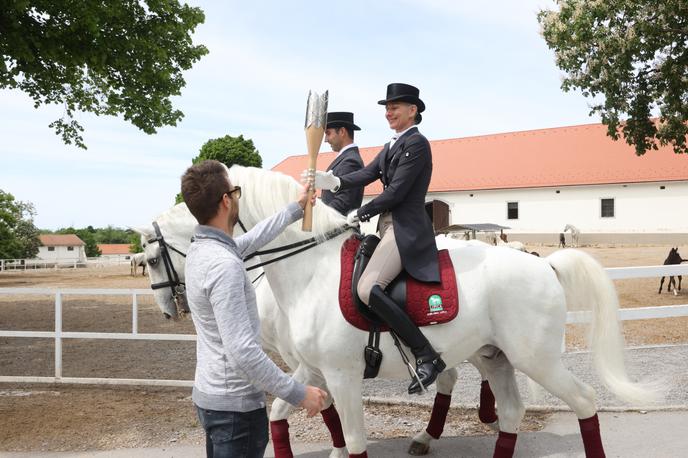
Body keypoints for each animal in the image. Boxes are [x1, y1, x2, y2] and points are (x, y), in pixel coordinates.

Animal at [144, 166, 656, 456]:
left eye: (150, 257)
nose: (170, 309)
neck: (309, 269)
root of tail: (543, 263)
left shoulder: (342, 375)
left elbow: (353, 440)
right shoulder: (308, 370)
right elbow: (280, 415)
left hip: (537, 359)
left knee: (583, 402)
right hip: (495, 356)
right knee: (510, 411)